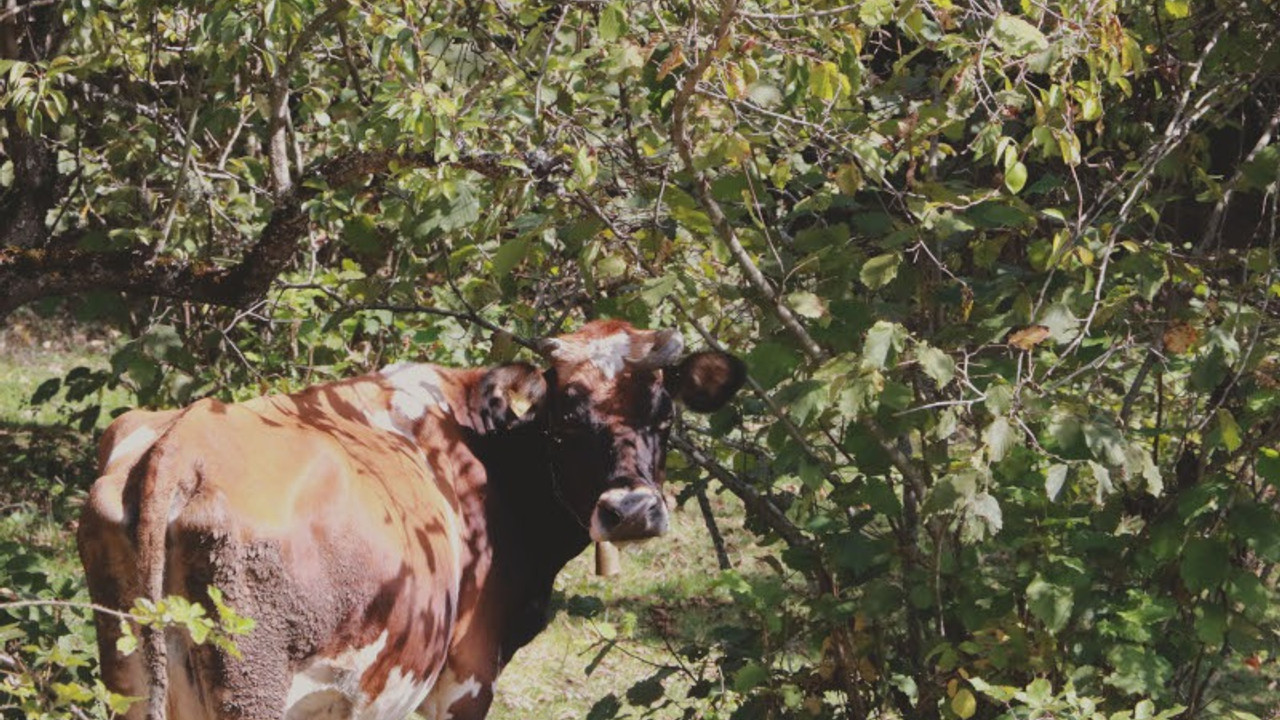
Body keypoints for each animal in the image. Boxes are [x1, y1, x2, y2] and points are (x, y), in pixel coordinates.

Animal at [77, 320, 742, 717]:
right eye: (566, 419)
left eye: (665, 413)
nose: (630, 510)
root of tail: (185, 438)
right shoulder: (466, 677)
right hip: (251, 686)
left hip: (132, 682)